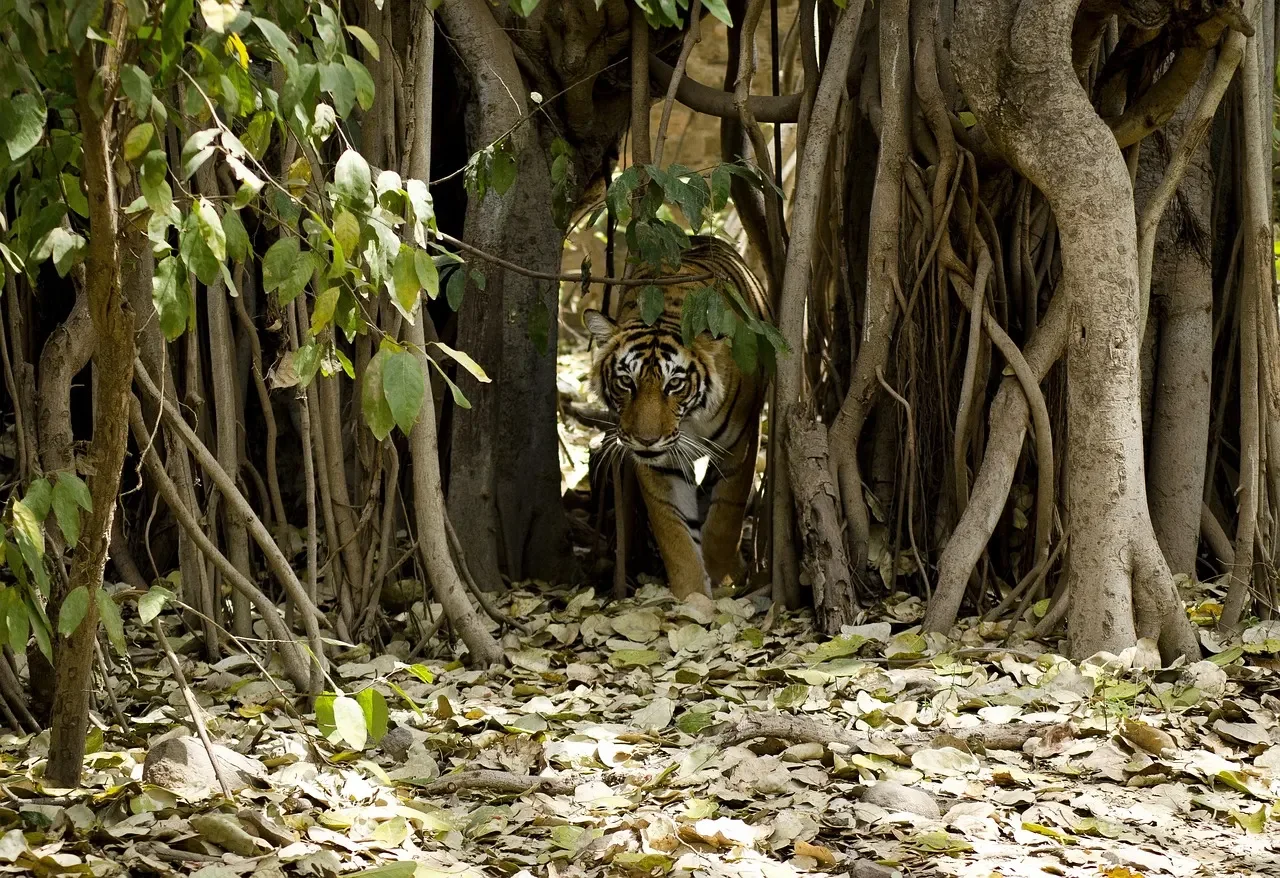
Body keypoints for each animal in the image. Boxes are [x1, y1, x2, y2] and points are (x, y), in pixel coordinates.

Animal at [583, 235, 771, 600]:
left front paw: (718, 578)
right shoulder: (660, 465)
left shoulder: (741, 445)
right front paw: (693, 598)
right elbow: (675, 534)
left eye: (674, 385)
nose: (646, 440)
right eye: (627, 382)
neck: (689, 422)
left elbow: (726, 516)